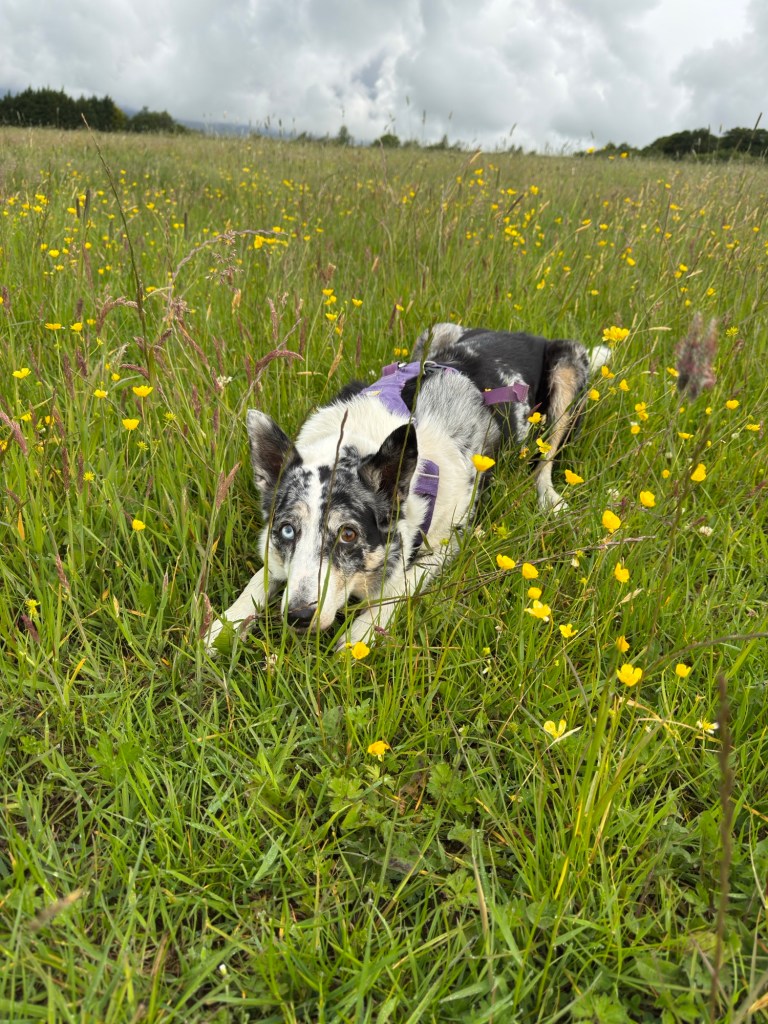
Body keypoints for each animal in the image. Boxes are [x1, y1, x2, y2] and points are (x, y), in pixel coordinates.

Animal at [204, 323, 610, 650]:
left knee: (546, 459)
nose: (298, 616)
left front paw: (360, 635)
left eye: (348, 535)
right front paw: (225, 627)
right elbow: (261, 577)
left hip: (566, 379)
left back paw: (550, 499)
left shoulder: (447, 544)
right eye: (287, 530)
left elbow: (399, 586)